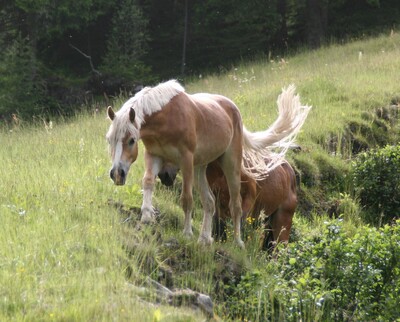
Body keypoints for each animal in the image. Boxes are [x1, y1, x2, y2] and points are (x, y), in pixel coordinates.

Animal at [105, 80, 310, 247]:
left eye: (131, 140)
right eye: (109, 140)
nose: (116, 174)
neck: (166, 118)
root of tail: (233, 109)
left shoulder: (186, 160)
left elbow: (186, 199)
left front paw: (187, 233)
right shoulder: (154, 156)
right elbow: (147, 182)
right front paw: (147, 216)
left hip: (230, 165)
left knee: (235, 205)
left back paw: (238, 242)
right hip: (200, 169)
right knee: (210, 202)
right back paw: (205, 239)